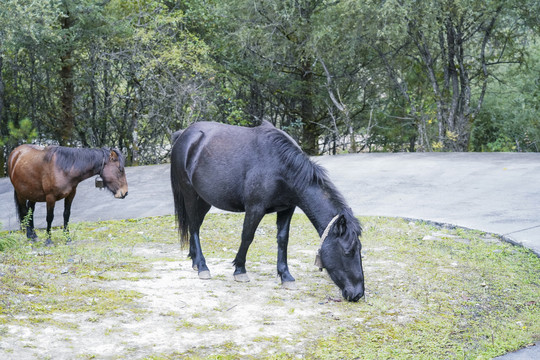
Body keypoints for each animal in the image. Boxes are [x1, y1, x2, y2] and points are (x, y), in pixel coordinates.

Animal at [170, 120, 362, 300]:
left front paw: (286, 276)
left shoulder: (287, 209)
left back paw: (195, 261)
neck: (281, 166)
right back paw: (202, 266)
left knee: (195, 225)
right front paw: (240, 270)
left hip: (204, 200)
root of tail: (184, 134)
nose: (358, 294)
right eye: (348, 251)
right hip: (190, 194)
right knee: (194, 226)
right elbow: (247, 237)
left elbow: (283, 240)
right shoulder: (255, 208)